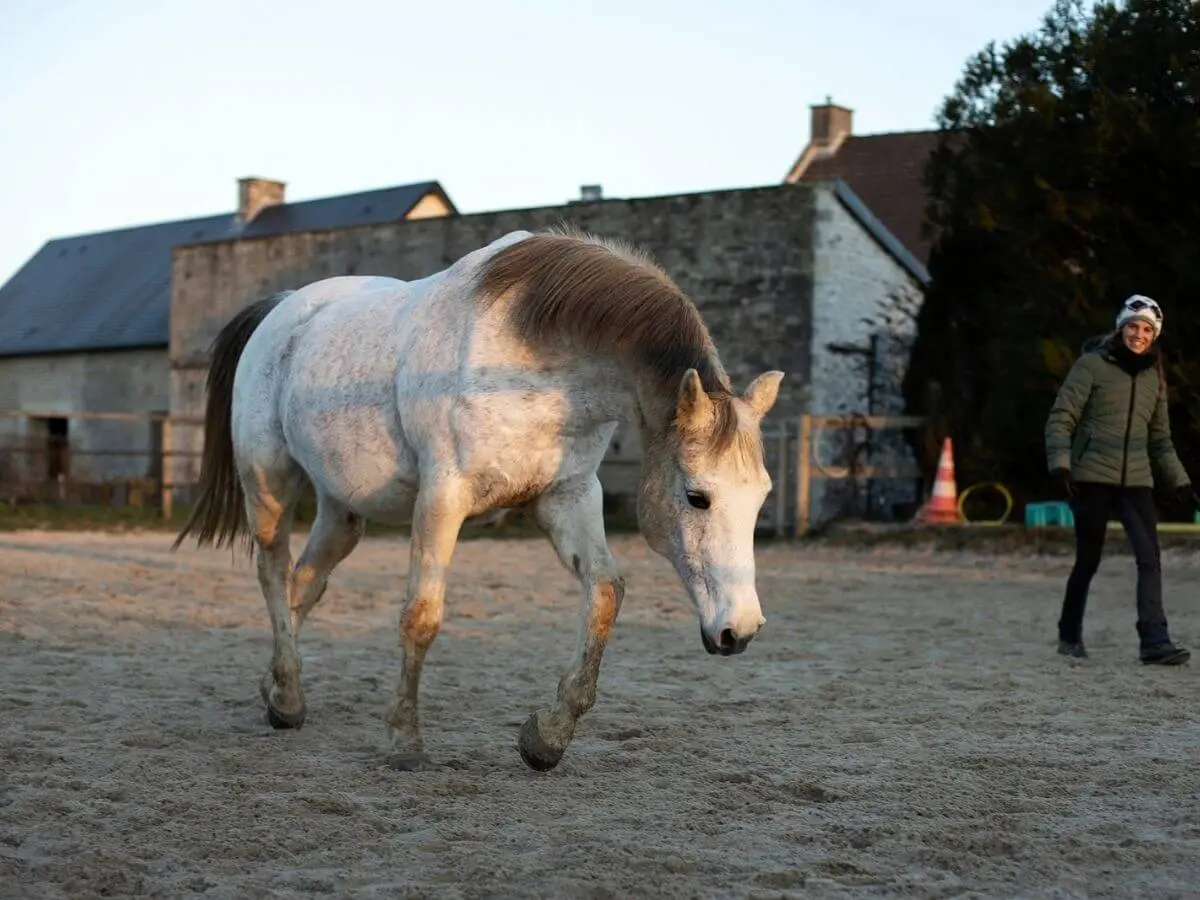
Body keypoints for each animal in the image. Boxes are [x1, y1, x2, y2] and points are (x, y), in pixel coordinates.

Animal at [172, 227, 784, 772]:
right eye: (697, 496)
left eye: (761, 499)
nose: (741, 629)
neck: (530, 357)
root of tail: (281, 310)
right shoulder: (443, 497)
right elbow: (421, 616)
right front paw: (405, 743)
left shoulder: (567, 496)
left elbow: (606, 591)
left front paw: (546, 740)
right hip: (269, 485)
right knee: (274, 574)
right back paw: (288, 703)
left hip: (342, 510)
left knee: (304, 583)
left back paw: (278, 686)